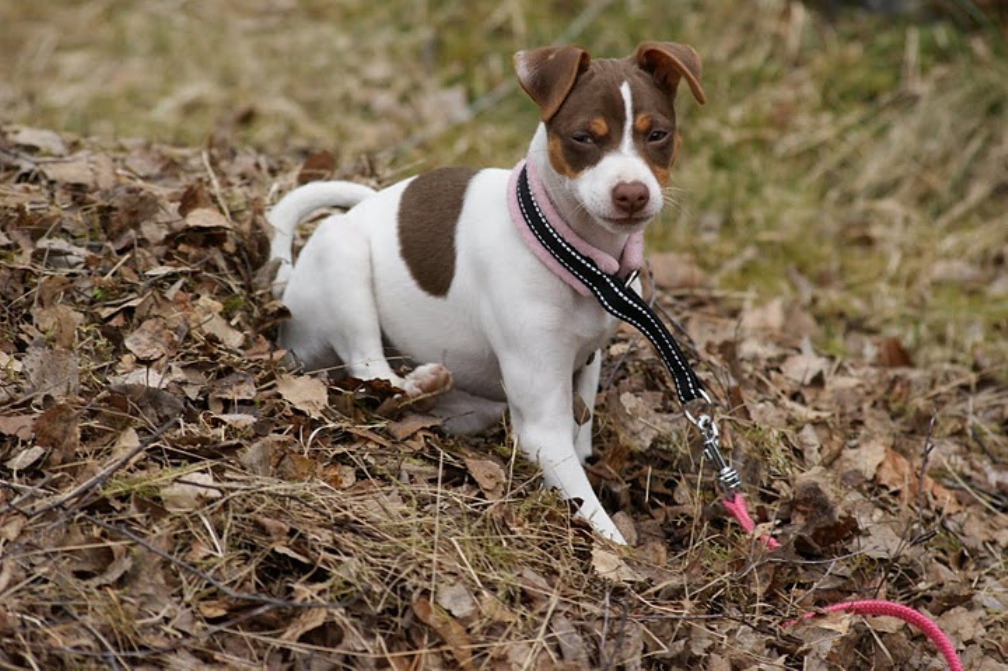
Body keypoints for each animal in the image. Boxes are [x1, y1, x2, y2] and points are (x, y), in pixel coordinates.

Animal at [272, 41, 705, 540]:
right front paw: (616, 547)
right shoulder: (541, 427)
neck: (568, 251)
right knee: (370, 371)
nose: (632, 194)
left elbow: (581, 438)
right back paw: (416, 381)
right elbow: (593, 512)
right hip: (343, 261)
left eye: (658, 135)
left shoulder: (586, 361)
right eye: (583, 138)